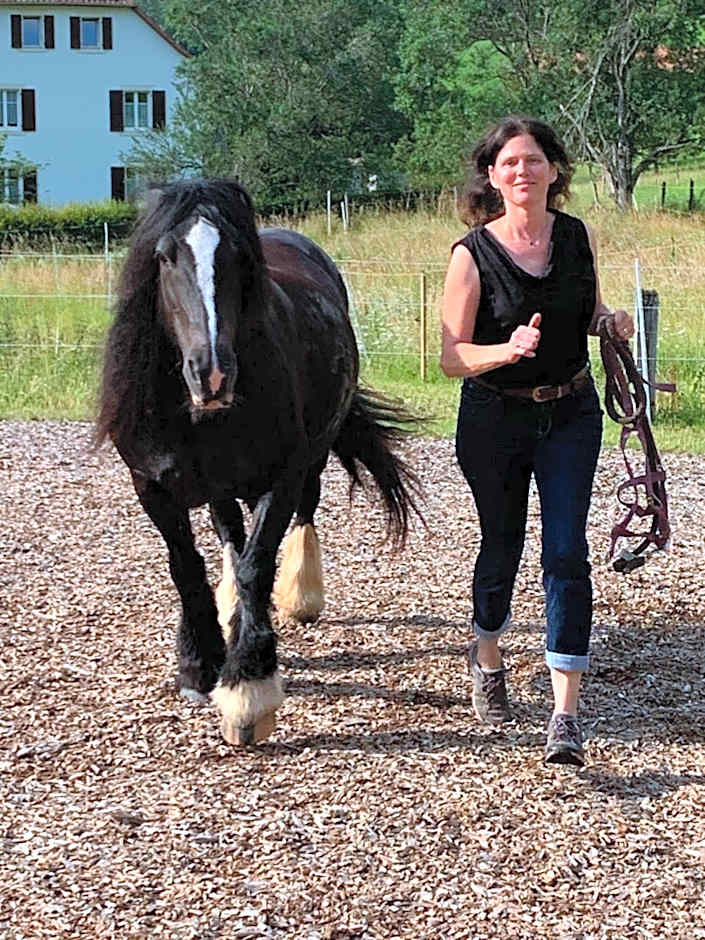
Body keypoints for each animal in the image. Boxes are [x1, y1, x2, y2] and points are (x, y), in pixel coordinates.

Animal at [95, 178, 422, 746]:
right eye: (165, 255)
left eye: (239, 257)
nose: (212, 374)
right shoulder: (151, 486)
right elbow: (187, 566)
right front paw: (199, 663)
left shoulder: (282, 479)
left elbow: (257, 565)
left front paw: (248, 688)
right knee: (228, 530)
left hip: (311, 460)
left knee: (301, 517)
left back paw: (300, 596)